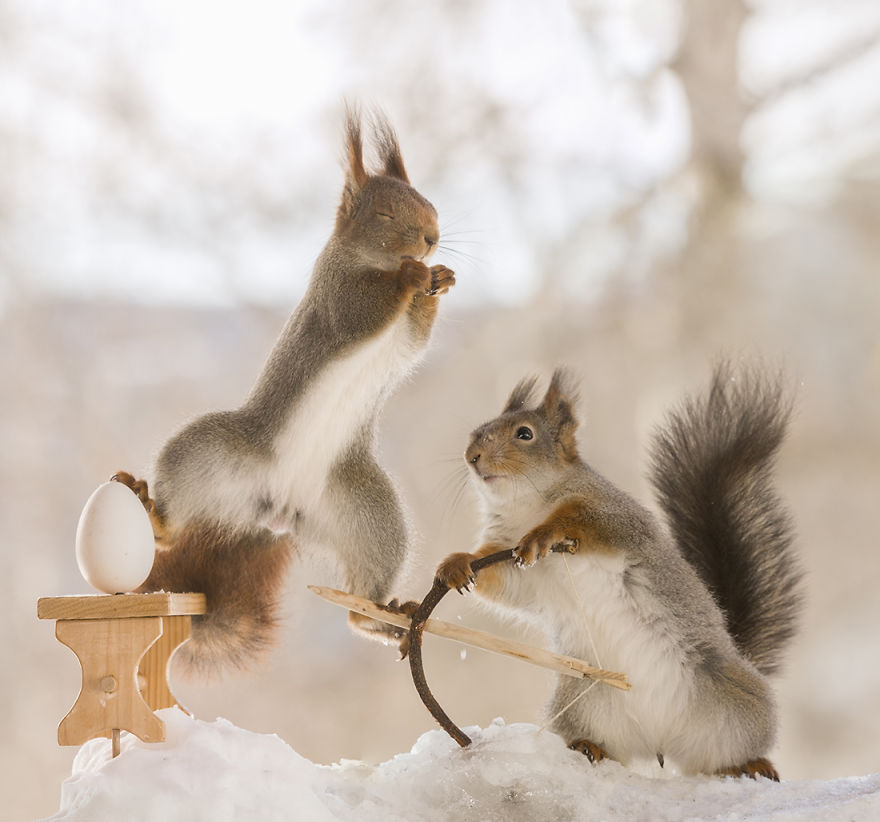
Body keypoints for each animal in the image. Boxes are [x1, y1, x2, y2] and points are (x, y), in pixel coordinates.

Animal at [114, 104, 454, 668]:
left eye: (429, 205)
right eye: (384, 215)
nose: (431, 237)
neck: (372, 261)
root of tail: (276, 514)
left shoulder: (404, 335)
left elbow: (414, 338)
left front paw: (439, 279)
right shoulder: (336, 295)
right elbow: (364, 312)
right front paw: (413, 277)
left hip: (370, 516)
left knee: (358, 605)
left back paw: (384, 617)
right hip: (205, 456)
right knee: (169, 532)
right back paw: (155, 516)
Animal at [436, 366, 800, 780]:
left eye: (524, 434)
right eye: (475, 433)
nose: (472, 457)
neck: (525, 507)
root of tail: (660, 741)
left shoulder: (618, 518)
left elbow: (584, 521)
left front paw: (546, 532)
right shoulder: (516, 566)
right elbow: (501, 583)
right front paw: (457, 563)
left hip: (737, 703)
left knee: (726, 753)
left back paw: (750, 763)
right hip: (584, 700)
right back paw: (590, 747)